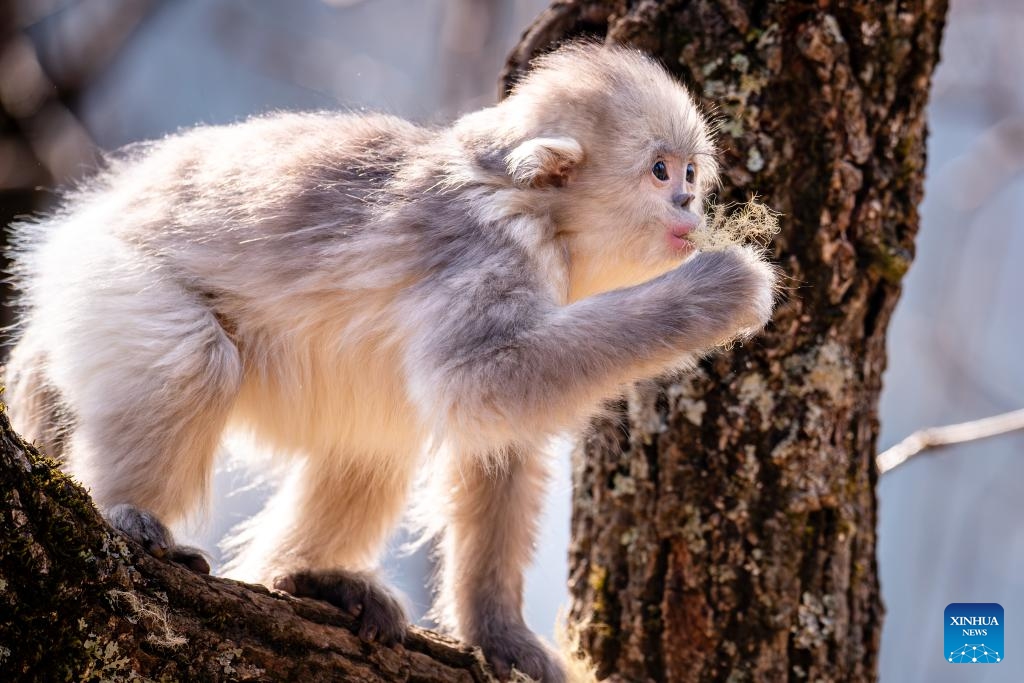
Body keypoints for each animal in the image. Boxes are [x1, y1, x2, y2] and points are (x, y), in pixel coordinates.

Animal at [2, 41, 776, 682]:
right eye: (659, 172)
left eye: (690, 172)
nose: (688, 201)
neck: (537, 211)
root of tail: (83, 223)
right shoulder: (489, 250)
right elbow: (478, 385)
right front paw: (718, 289)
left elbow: (498, 440)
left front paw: (499, 634)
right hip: (111, 280)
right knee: (194, 357)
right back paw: (129, 517)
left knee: (375, 437)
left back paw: (301, 577)